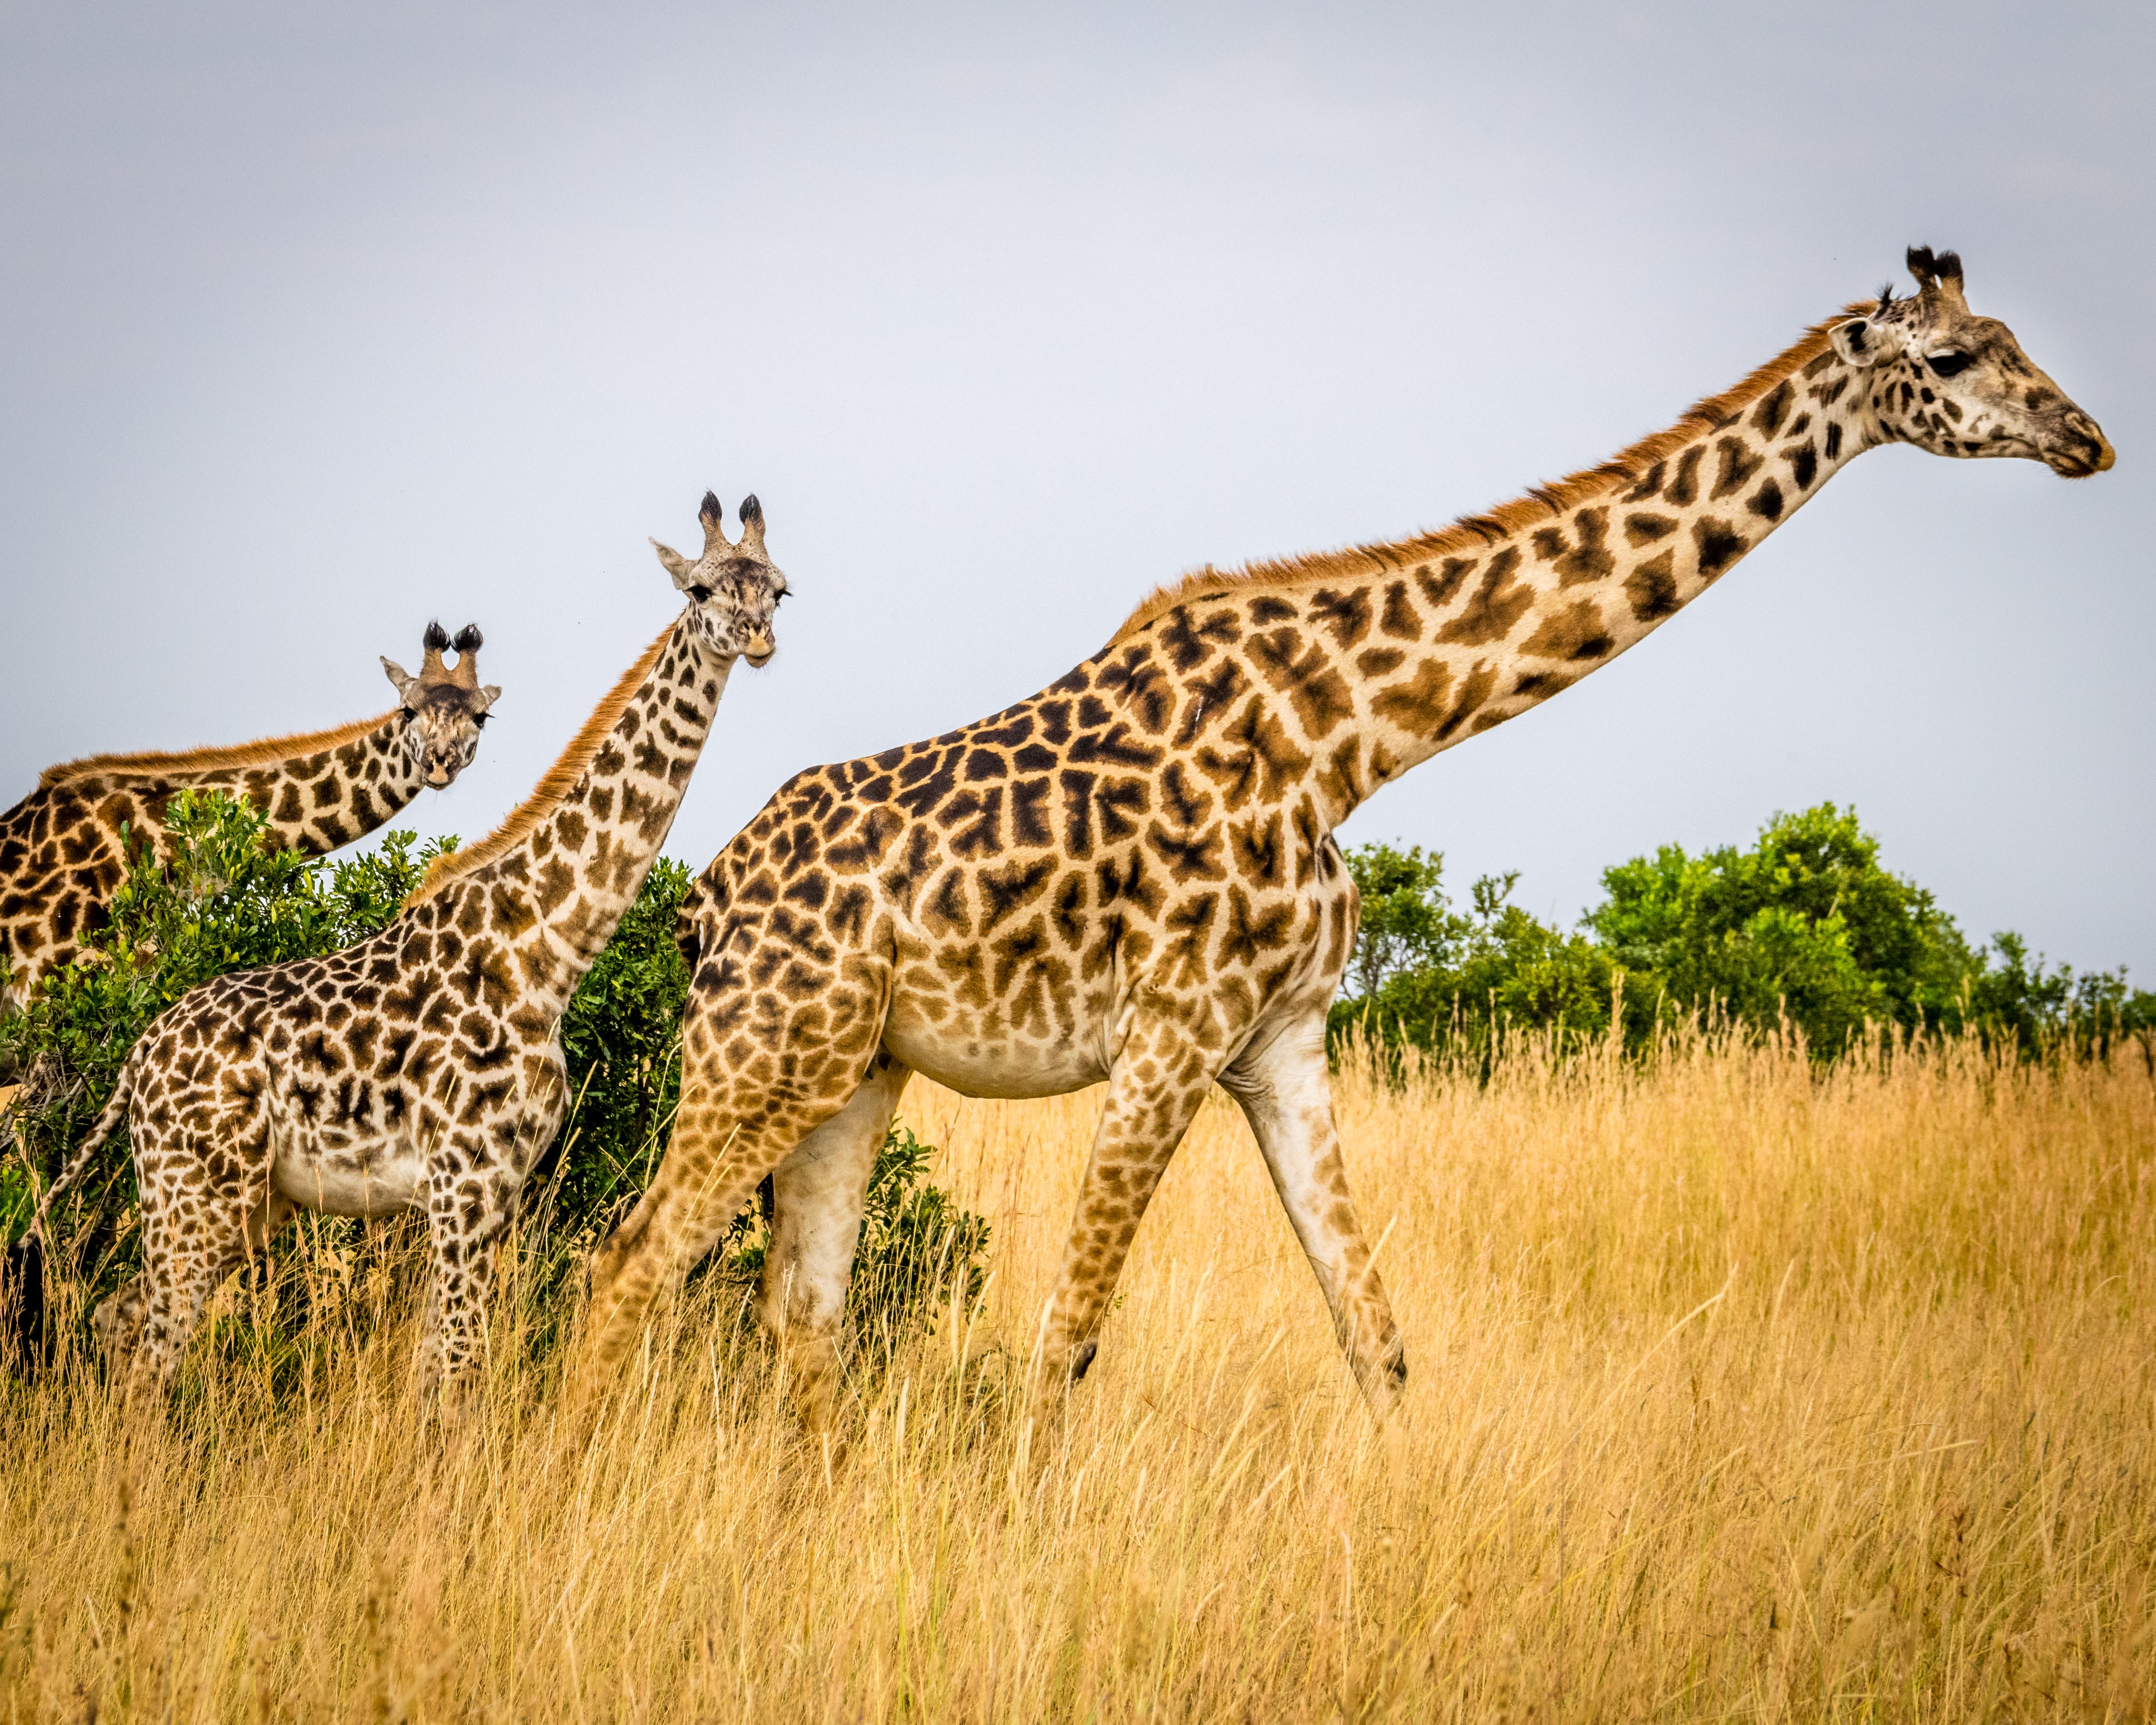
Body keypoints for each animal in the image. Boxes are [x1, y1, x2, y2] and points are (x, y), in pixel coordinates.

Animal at [569, 246, 2104, 1432]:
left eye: (2014, 339)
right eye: (1954, 357)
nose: (2084, 438)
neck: (1347, 740)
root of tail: (703, 900)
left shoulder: (1284, 1041)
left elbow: (1375, 1338)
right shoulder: (1170, 1034)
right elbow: (1065, 1336)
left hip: (851, 1070)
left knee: (803, 1308)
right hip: (755, 1059)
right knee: (626, 1266)